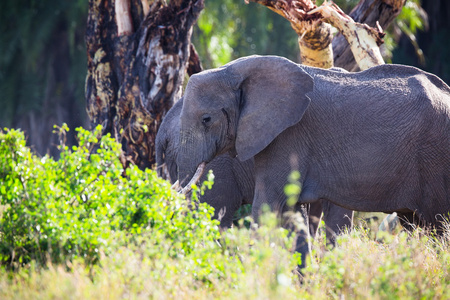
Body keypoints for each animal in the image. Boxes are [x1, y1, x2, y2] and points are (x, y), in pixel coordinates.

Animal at [176, 55, 450, 268]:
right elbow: (292, 214)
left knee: (439, 225)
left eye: (206, 119)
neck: (236, 70)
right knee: (415, 225)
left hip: (436, 158)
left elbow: (268, 207)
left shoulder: (287, 136)